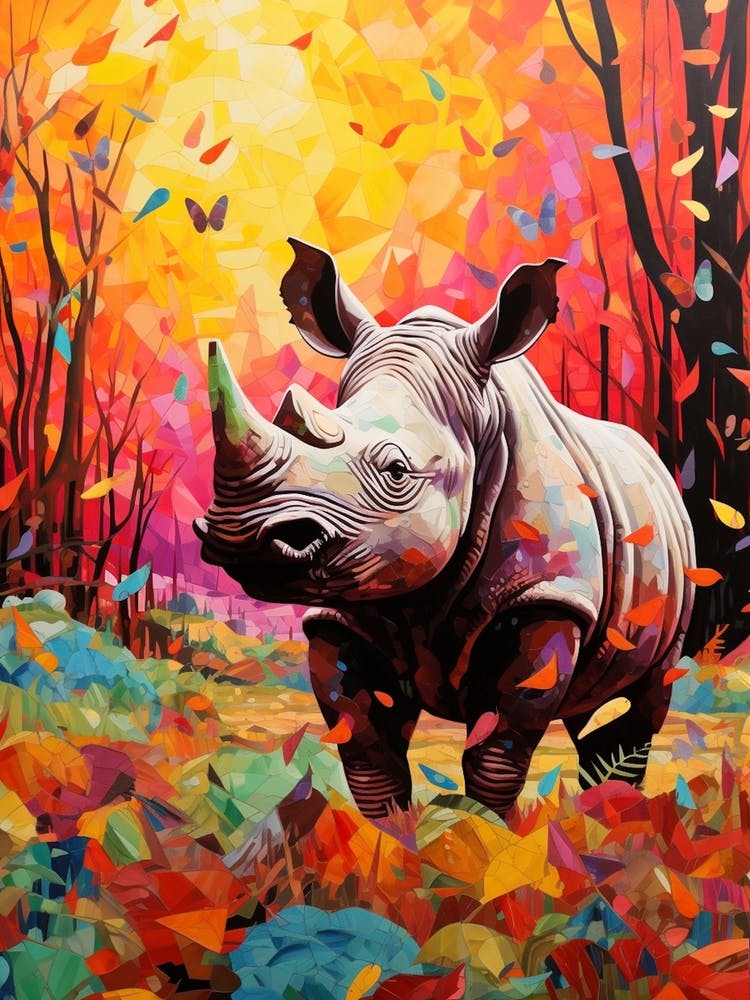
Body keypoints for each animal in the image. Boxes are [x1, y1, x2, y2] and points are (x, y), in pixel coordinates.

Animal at [195, 238, 695, 819]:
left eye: (396, 470)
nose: (243, 537)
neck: (478, 423)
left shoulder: (549, 595)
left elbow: (497, 749)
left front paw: (484, 831)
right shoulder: (344, 609)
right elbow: (367, 749)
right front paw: (390, 835)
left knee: (637, 704)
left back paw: (615, 816)